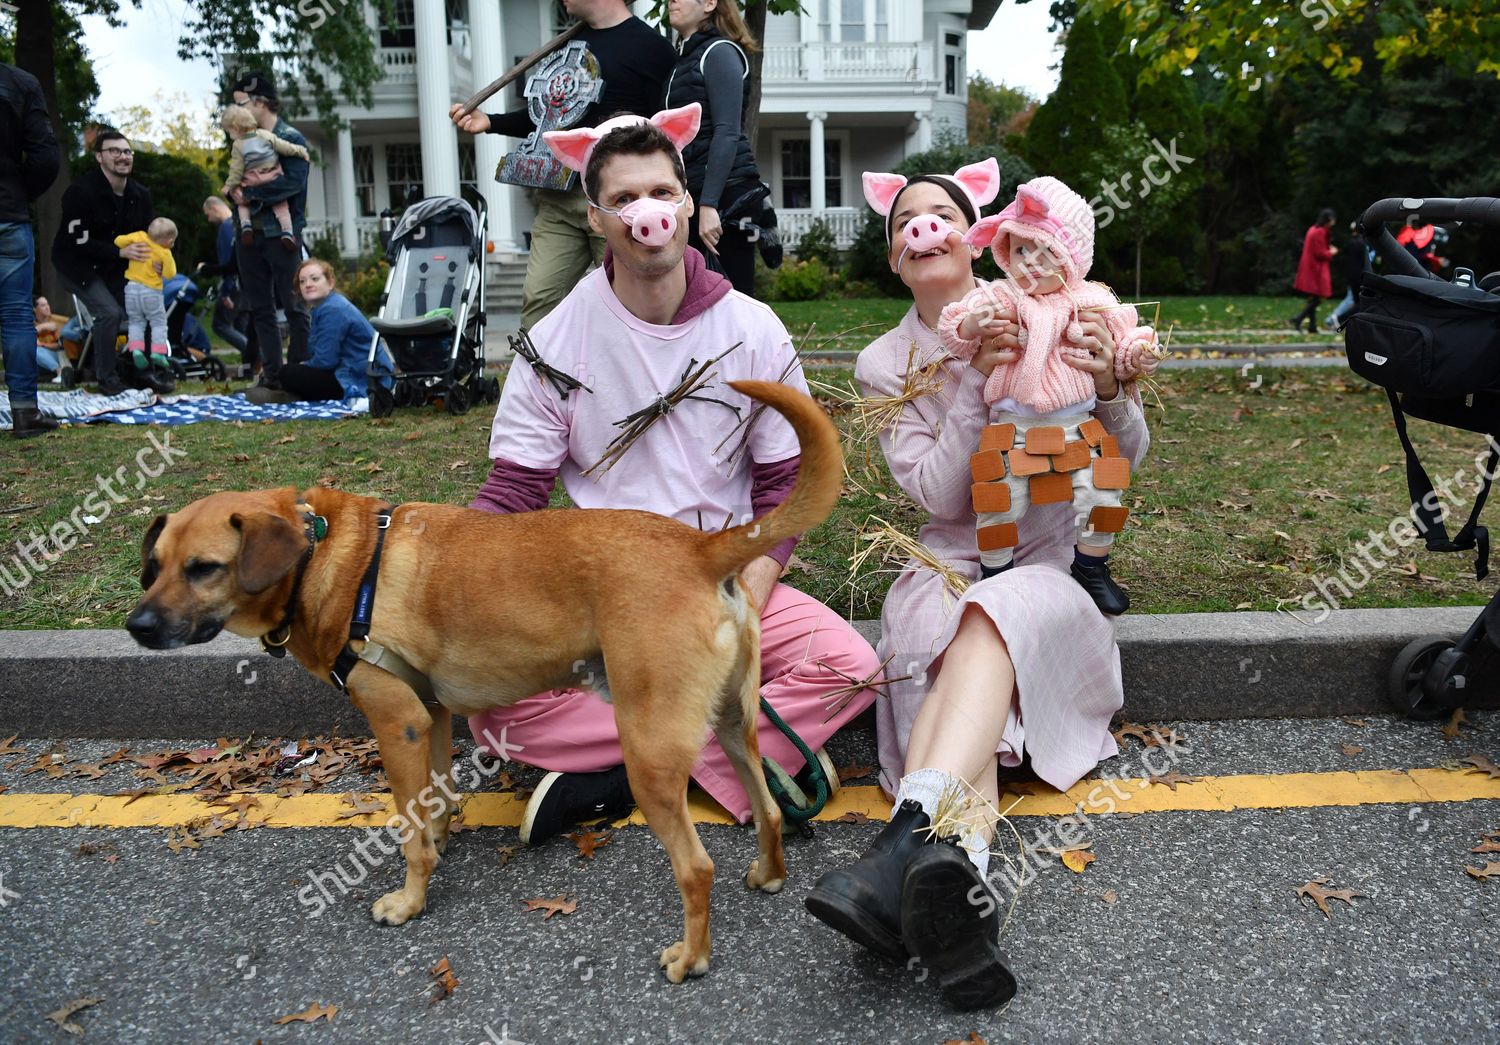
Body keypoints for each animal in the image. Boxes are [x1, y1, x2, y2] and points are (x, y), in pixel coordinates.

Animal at [126, 380, 846, 977]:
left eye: (204, 568)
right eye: (154, 565)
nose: (137, 625)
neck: (327, 554)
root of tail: (701, 548)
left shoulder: (398, 724)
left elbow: (408, 830)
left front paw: (410, 899)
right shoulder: (434, 717)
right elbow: (435, 799)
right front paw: (441, 839)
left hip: (648, 744)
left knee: (696, 867)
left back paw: (691, 957)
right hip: (734, 723)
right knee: (768, 806)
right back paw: (768, 872)